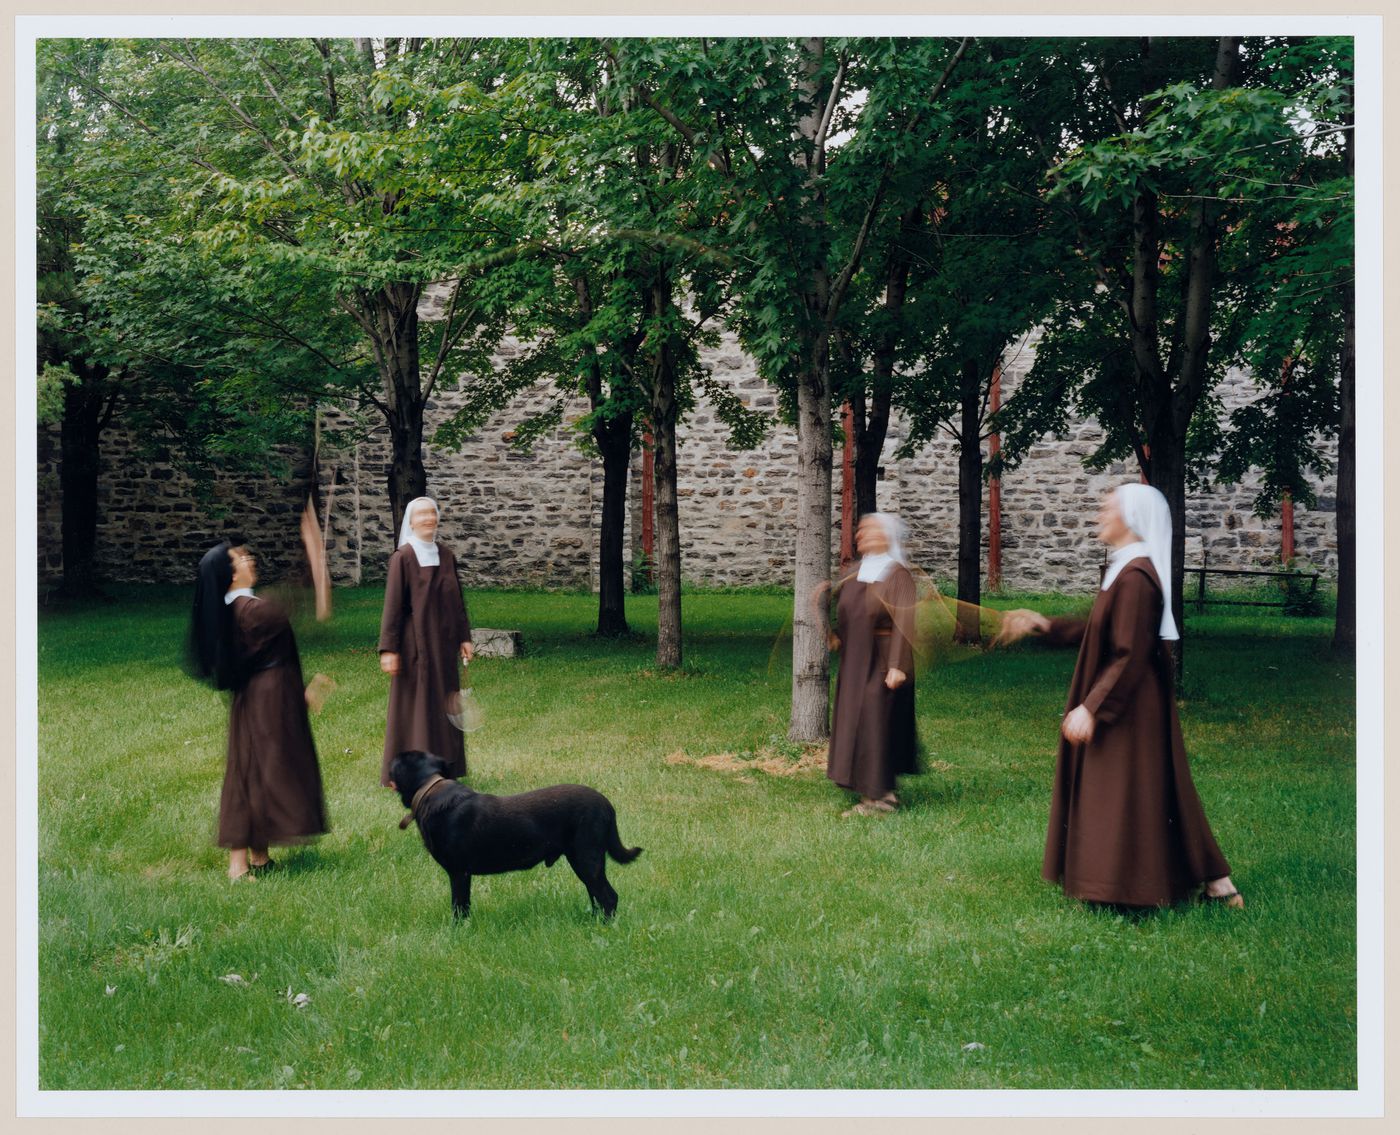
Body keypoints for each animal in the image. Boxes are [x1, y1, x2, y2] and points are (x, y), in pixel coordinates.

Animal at [389, 750, 641, 918]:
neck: (429, 790)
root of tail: (607, 804)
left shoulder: (459, 872)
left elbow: (459, 907)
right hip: (581, 860)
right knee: (596, 895)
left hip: (586, 857)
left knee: (608, 896)